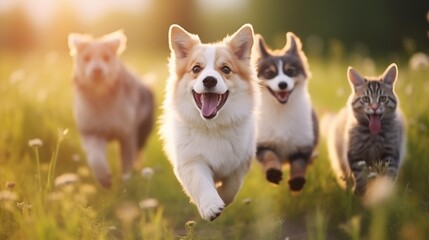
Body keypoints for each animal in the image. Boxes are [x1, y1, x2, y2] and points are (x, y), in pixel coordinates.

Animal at [67, 30, 153, 188]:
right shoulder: (90, 130)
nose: (97, 70)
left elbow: (127, 160)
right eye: (86, 58)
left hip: (143, 130)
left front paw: (126, 183)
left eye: (106, 57)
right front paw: (106, 181)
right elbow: (95, 156)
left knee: (138, 152)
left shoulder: (127, 132)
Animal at [159, 24, 256, 221]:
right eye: (196, 69)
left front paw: (222, 198)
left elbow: (232, 186)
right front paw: (211, 206)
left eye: (226, 69)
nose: (209, 80)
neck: (212, 126)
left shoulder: (242, 161)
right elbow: (201, 182)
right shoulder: (190, 161)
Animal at [328, 63, 404, 204]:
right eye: (366, 99)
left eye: (382, 98)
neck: (373, 136)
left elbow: (388, 176)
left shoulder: (391, 153)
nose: (374, 107)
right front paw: (361, 194)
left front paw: (387, 197)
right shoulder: (355, 155)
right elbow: (360, 177)